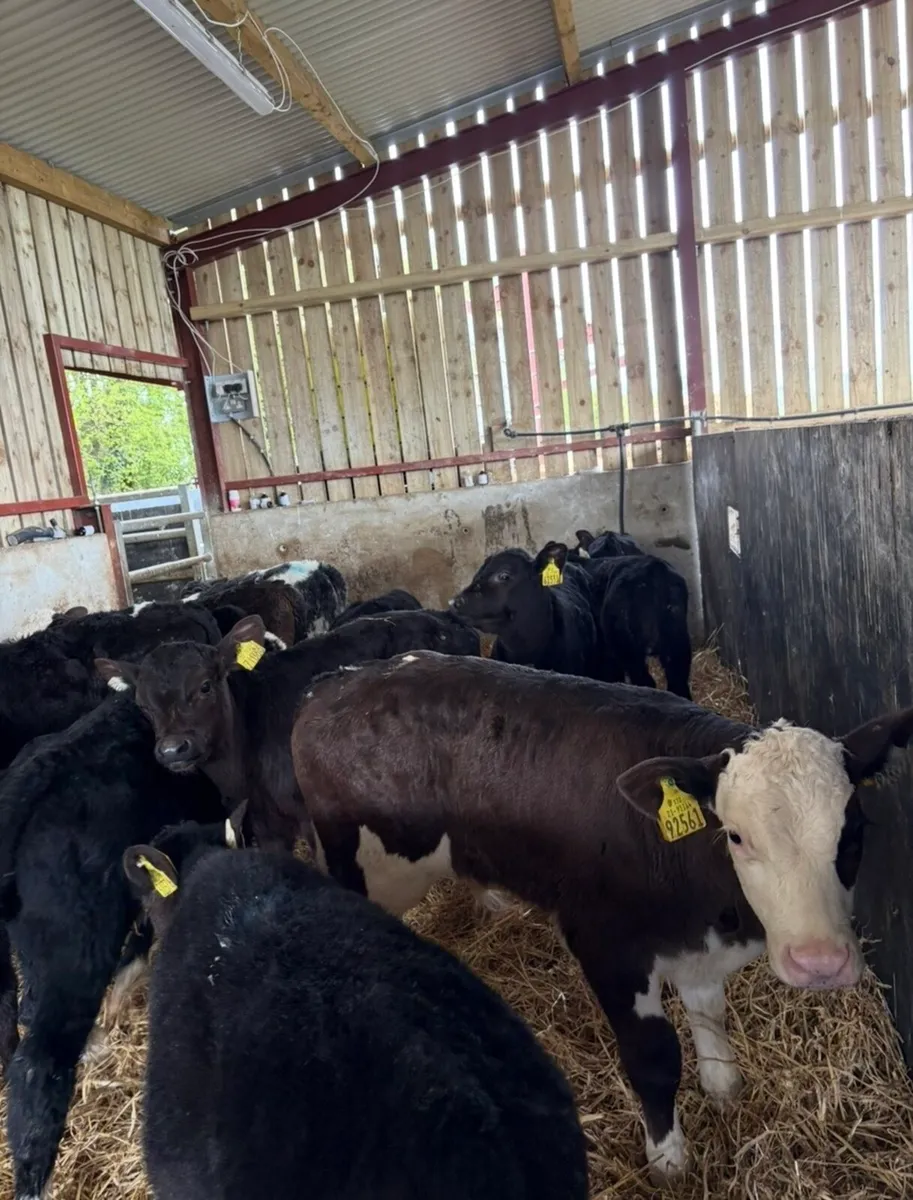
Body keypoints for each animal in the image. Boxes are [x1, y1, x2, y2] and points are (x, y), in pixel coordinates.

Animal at [289, 651, 913, 1180]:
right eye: (737, 836)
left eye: (854, 832)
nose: (820, 963)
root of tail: (334, 682)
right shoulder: (608, 948)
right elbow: (656, 1058)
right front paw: (668, 1159)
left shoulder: (696, 945)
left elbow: (710, 1018)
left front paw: (724, 1087)